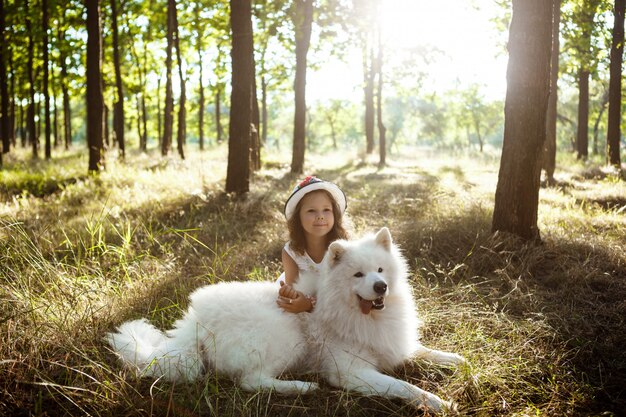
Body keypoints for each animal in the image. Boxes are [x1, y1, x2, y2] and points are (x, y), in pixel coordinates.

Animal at [106, 226, 464, 412]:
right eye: (358, 275)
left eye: (380, 270)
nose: (381, 287)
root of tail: (194, 322)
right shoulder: (352, 373)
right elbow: (402, 386)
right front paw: (438, 402)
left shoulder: (393, 344)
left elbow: (424, 352)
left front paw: (458, 361)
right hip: (285, 335)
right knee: (251, 381)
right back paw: (301, 387)